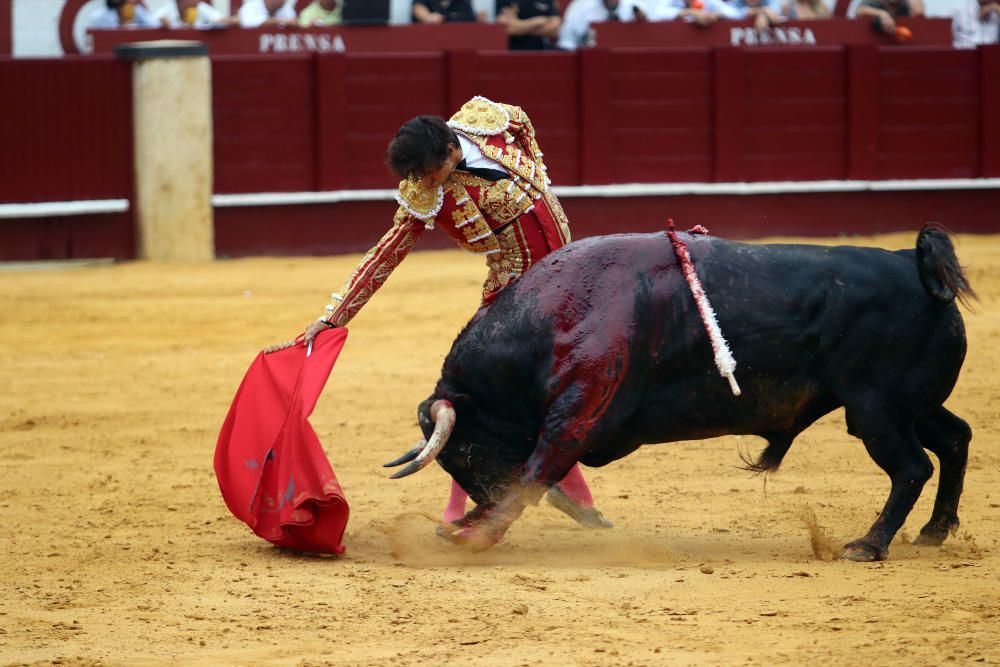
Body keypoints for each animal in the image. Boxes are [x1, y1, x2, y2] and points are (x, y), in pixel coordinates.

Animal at [386, 226, 972, 564]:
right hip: (905, 406)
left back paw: (868, 546)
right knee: (954, 438)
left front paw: (472, 536)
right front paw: (468, 526)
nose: (475, 506)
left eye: (463, 452)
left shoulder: (577, 411)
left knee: (912, 467)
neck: (550, 319)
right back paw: (933, 531)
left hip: (876, 409)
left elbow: (535, 471)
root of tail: (913, 265)